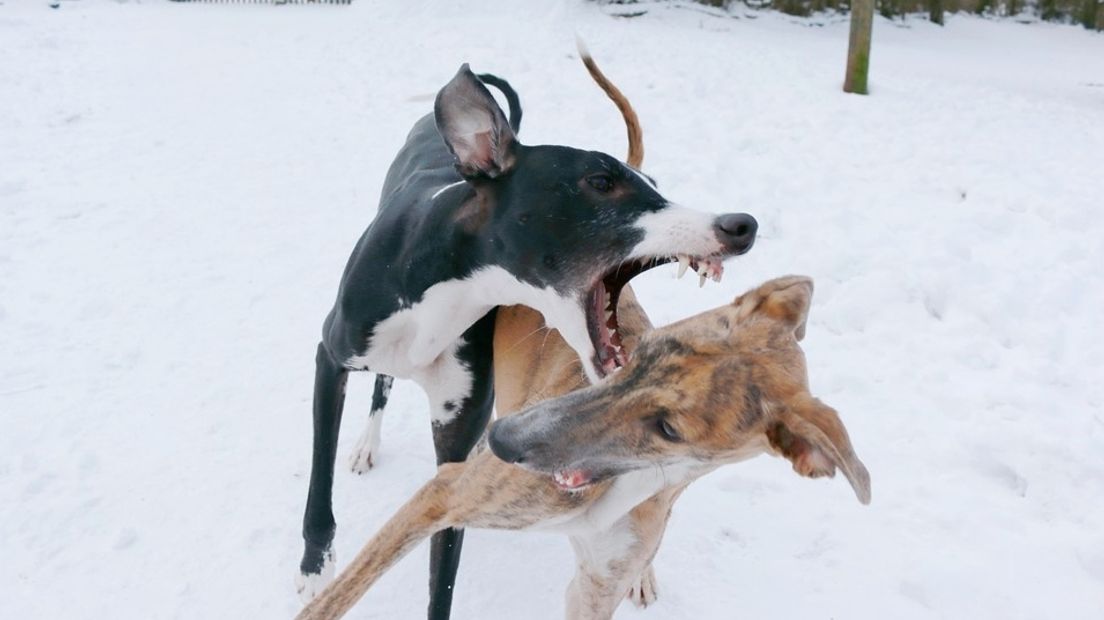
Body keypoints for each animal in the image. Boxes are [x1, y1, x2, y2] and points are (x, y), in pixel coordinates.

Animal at [300, 65, 759, 613]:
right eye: (600, 182)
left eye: (655, 185)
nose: (742, 225)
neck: (448, 287)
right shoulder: (331, 361)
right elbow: (320, 483)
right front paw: (315, 570)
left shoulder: (459, 448)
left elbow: (443, 575)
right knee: (381, 385)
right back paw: (367, 444)